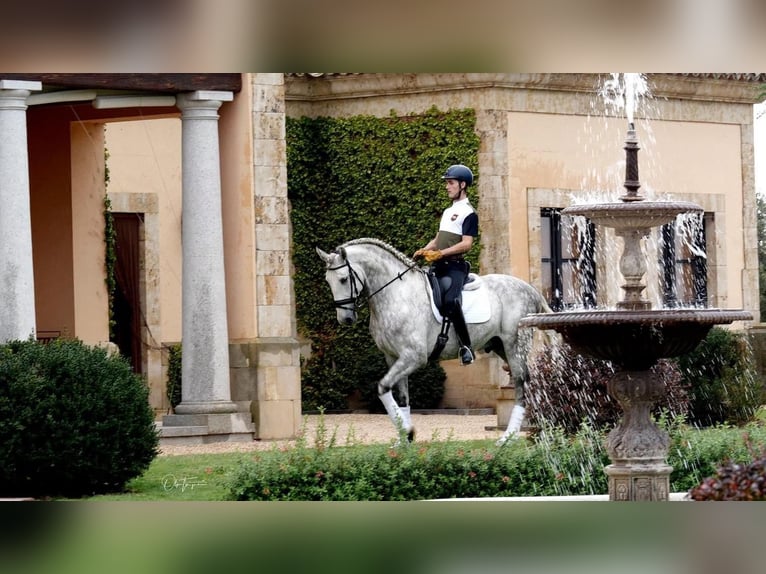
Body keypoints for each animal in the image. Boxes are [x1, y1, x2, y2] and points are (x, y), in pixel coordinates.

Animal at [318, 238, 552, 446]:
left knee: (521, 383)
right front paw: (405, 439)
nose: (346, 319)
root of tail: (530, 289)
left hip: (515, 345)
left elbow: (382, 387)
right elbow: (402, 398)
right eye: (328, 281)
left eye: (342, 279)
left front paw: (408, 431)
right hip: (499, 345)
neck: (396, 294)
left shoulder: (413, 357)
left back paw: (508, 438)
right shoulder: (393, 357)